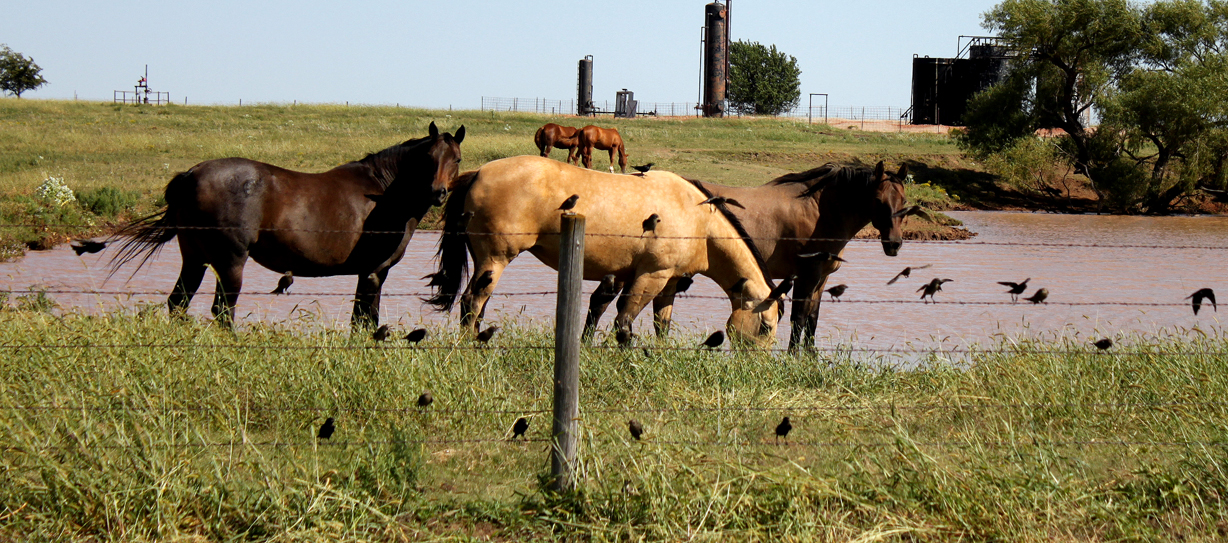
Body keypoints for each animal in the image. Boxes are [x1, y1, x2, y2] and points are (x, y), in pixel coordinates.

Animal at [109, 122, 466, 328]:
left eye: (457, 159)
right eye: (428, 158)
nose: (437, 192)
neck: (383, 193)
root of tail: (192, 174)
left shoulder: (367, 273)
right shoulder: (375, 271)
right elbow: (366, 320)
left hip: (195, 258)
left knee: (178, 303)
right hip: (230, 262)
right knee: (222, 310)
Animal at [426, 155, 780, 346]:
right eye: (766, 326)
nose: (756, 363)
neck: (696, 217)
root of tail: (478, 173)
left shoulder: (658, 281)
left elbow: (642, 320)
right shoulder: (650, 277)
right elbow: (624, 321)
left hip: (485, 263)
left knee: (478, 306)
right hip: (495, 259)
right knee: (471, 302)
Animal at [583, 161, 927, 350]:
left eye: (904, 201)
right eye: (879, 201)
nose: (894, 244)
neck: (819, 211)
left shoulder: (820, 279)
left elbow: (813, 320)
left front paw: (811, 358)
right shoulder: (806, 276)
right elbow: (800, 319)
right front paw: (794, 358)